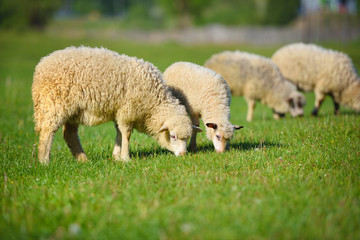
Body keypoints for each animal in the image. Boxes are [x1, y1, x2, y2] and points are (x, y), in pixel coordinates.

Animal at [31, 46, 200, 164]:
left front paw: (116, 156)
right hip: (54, 104)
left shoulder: (119, 111)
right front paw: (126, 158)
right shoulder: (127, 111)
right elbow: (126, 133)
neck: (153, 104)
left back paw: (83, 160)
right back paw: (44, 161)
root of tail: (41, 66)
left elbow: (119, 132)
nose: (183, 155)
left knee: (70, 135)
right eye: (173, 136)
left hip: (73, 111)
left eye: (187, 138)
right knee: (47, 131)